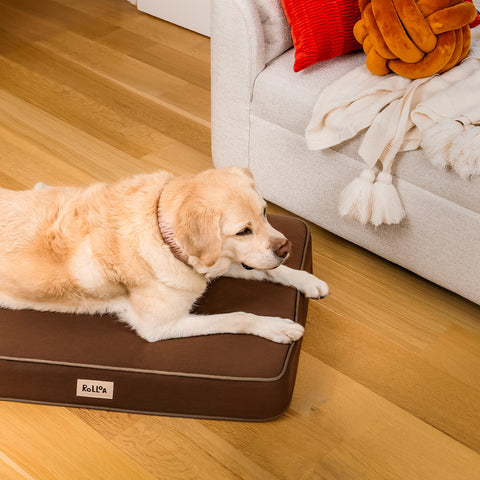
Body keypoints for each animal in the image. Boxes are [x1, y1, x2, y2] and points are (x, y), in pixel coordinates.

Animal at [0, 167, 328, 344]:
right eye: (243, 231)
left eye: (264, 212)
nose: (286, 248)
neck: (162, 235)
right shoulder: (160, 327)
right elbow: (237, 317)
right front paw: (277, 326)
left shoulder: (212, 264)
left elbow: (270, 270)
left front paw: (306, 279)